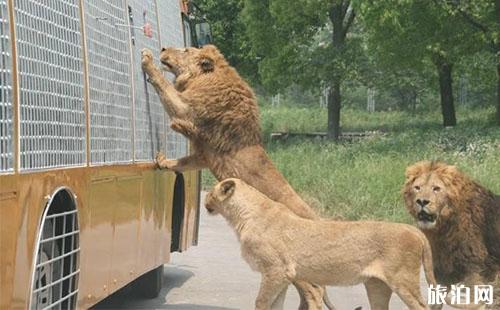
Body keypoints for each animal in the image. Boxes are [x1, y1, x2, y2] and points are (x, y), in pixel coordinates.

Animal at [141, 46, 332, 310]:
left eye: (186, 50)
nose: (163, 48)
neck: (208, 78)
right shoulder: (204, 154)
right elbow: (182, 162)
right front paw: (162, 161)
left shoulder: (189, 111)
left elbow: (165, 87)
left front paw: (147, 60)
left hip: (290, 263)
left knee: (314, 291)